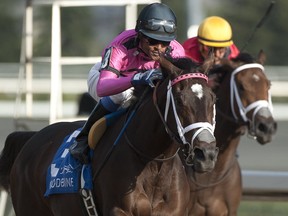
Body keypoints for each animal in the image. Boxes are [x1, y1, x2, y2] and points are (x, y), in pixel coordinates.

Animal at [0, 56, 216, 216]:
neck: (154, 163)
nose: (206, 154)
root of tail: (32, 138)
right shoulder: (119, 210)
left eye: (213, 98)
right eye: (179, 100)